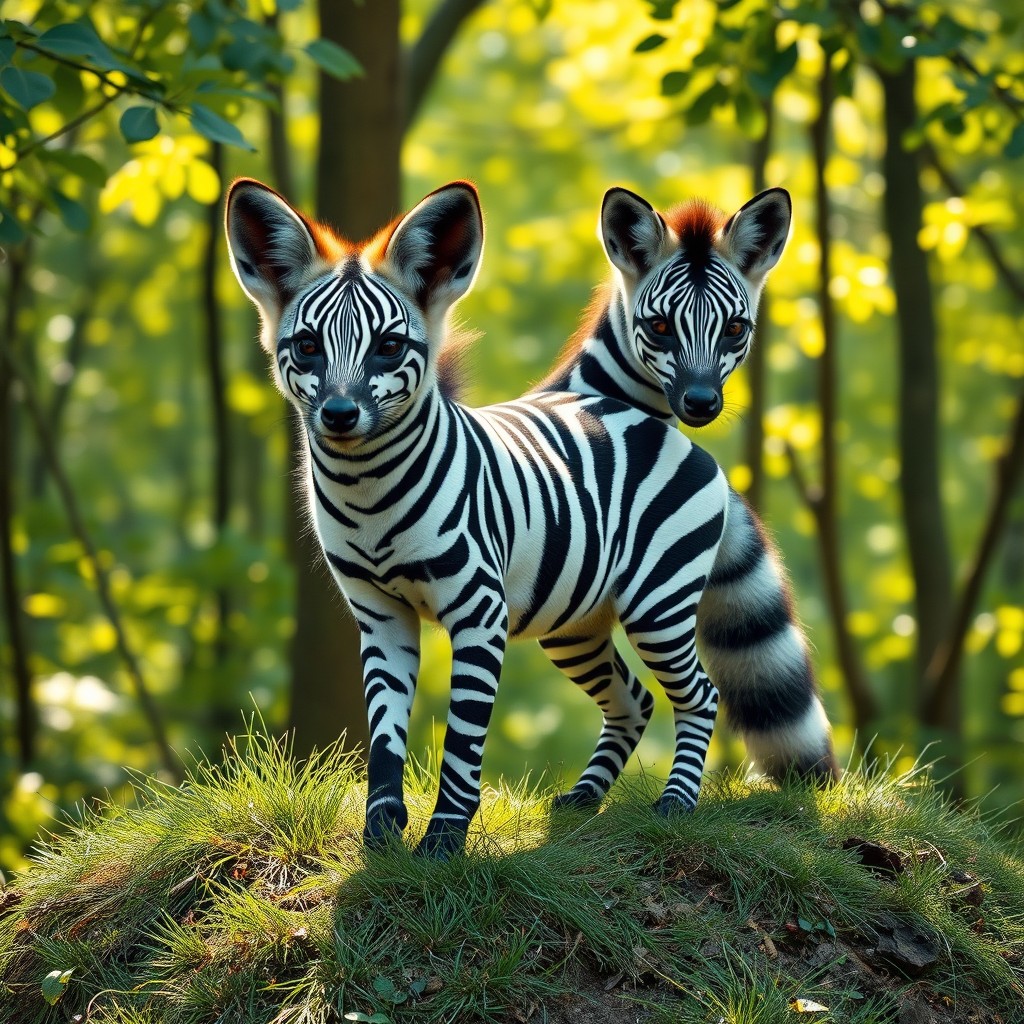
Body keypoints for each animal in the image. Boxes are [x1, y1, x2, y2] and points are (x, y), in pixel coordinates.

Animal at [226, 178, 734, 857]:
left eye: (389, 347)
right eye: (307, 347)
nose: (338, 415)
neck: (367, 497)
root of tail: (643, 415)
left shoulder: (479, 615)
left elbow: (462, 743)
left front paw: (442, 845)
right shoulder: (380, 617)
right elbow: (385, 735)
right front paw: (380, 840)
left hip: (659, 603)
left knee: (699, 694)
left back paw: (676, 804)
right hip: (574, 621)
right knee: (632, 700)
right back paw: (583, 801)